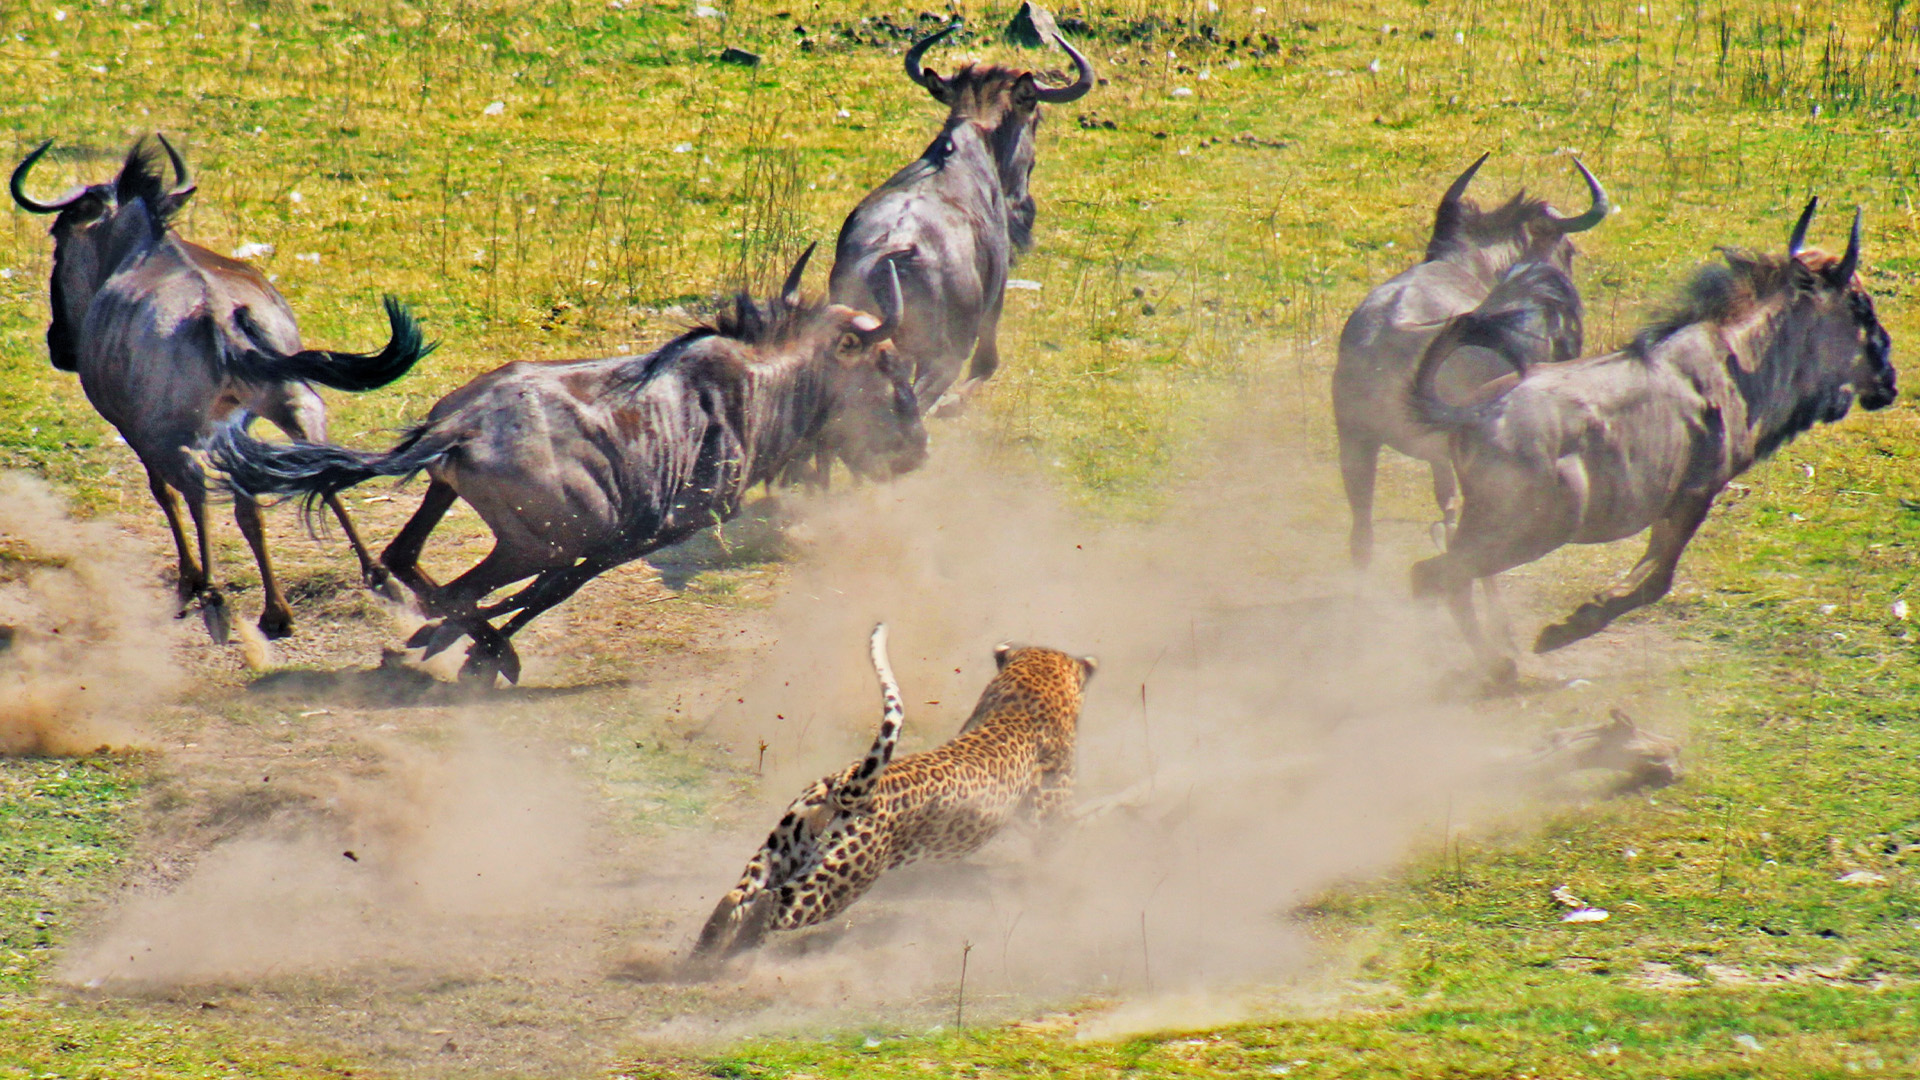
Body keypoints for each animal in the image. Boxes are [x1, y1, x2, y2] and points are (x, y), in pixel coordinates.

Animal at [691, 618, 1098, 960]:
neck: (1024, 695)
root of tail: (849, 785)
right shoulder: (1052, 817)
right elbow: (1062, 848)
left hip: (781, 847)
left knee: (739, 893)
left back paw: (704, 952)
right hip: (841, 879)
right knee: (773, 904)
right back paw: (735, 954)